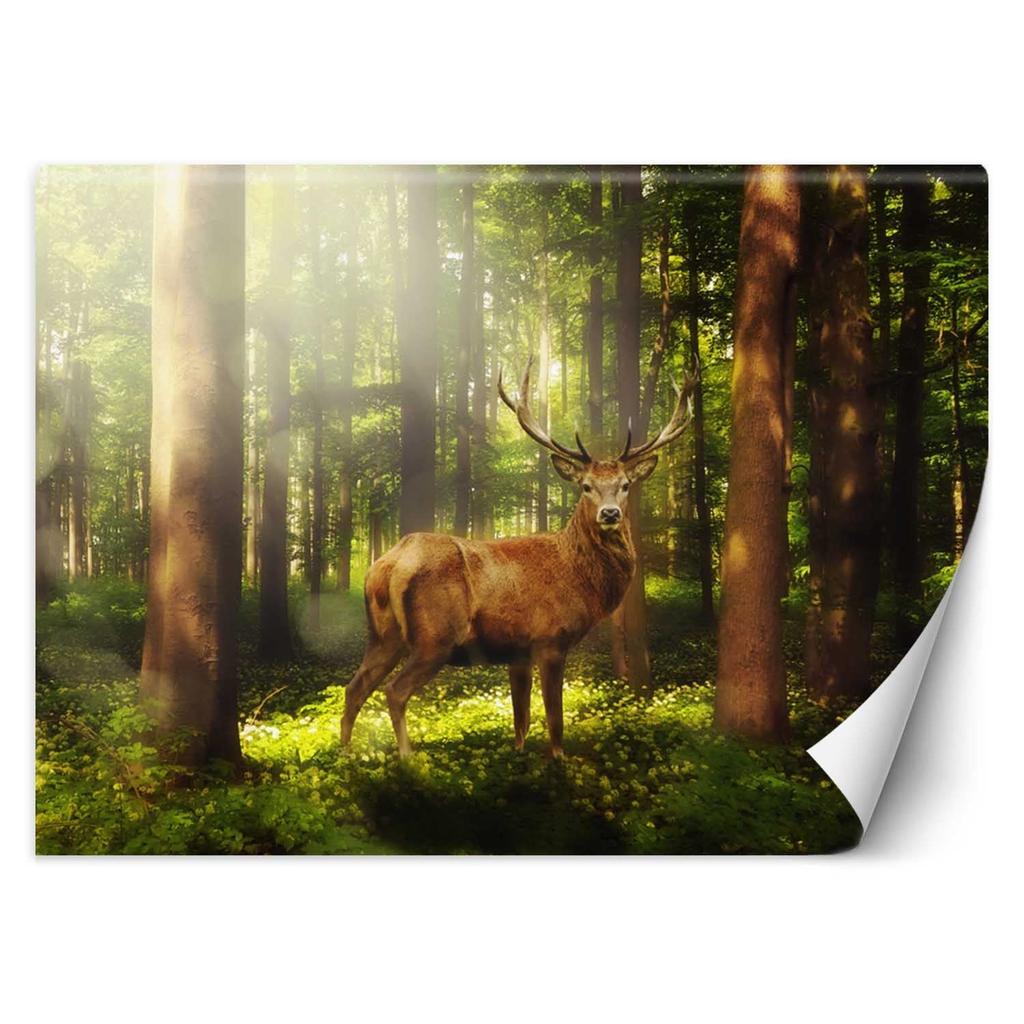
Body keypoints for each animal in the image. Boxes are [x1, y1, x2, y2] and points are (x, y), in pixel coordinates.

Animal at [340, 357, 697, 758]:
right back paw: (407, 758)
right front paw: (558, 760)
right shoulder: (550, 639)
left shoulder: (518, 652)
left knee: (354, 688)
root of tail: (388, 564)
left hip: (382, 635)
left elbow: (520, 719)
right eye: (586, 486)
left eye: (625, 485)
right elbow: (554, 719)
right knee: (394, 692)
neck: (580, 579)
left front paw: (520, 754)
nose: (610, 513)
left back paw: (345, 755)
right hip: (435, 637)